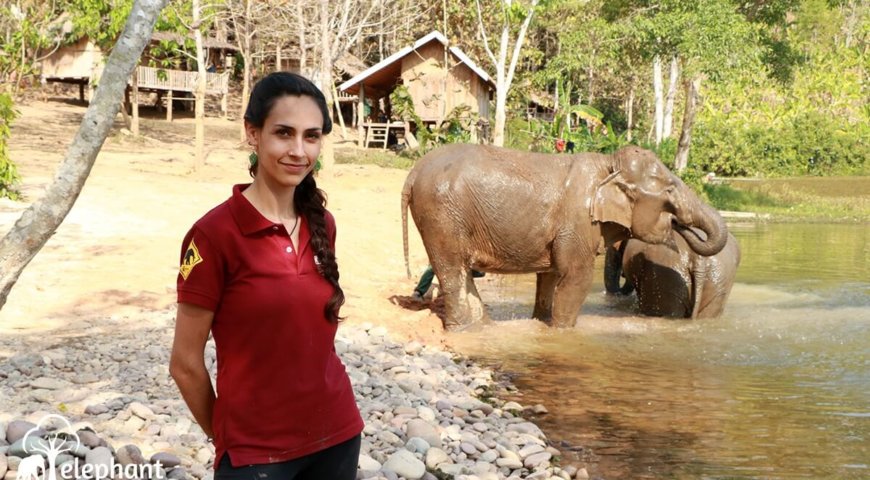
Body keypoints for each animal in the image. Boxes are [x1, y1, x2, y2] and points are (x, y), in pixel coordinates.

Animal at [402, 143, 728, 330]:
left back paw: (483, 326)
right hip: (442, 214)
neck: (607, 165)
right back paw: (463, 329)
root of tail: (414, 171)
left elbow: (550, 276)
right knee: (453, 270)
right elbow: (575, 278)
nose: (681, 227)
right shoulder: (579, 222)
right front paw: (562, 331)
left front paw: (542, 323)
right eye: (670, 189)